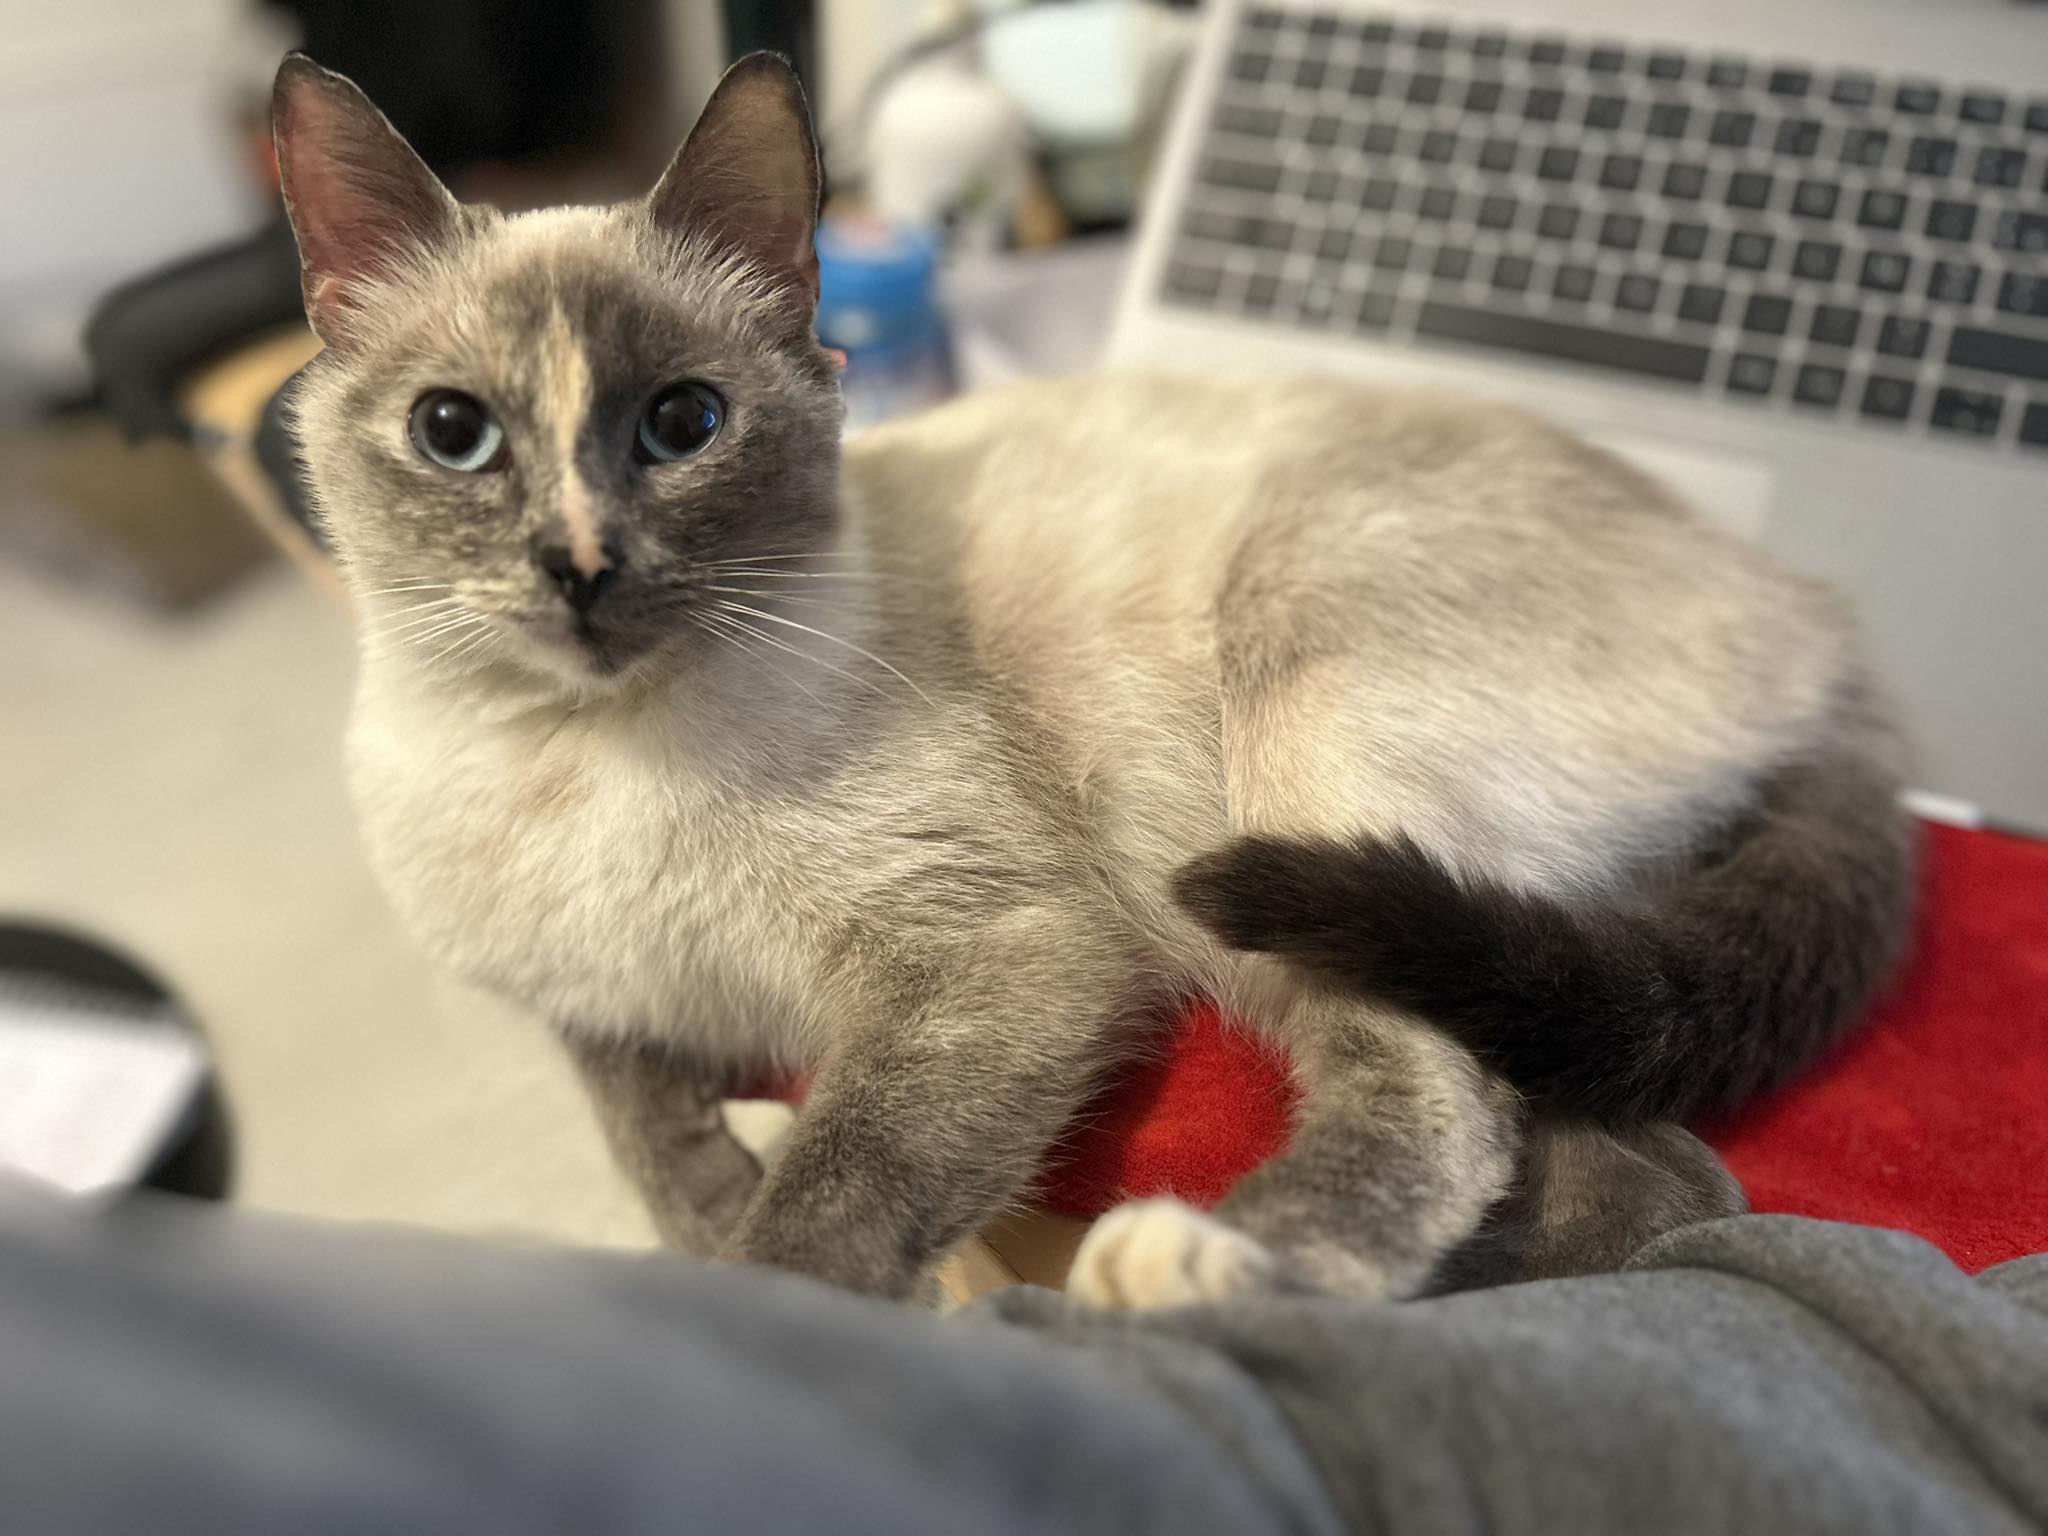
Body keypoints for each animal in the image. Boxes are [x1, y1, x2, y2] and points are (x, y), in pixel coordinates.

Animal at [273, 51, 1915, 1307]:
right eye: (453, 434)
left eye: (682, 424)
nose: (579, 565)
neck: (578, 750)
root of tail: (1832, 637)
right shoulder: (586, 1005)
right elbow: (641, 1125)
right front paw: (704, 1197)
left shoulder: (986, 956)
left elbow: (820, 1214)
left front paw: (749, 1304)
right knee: (1649, 1182)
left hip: (1287, 752)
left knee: (1476, 1115)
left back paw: (1200, 1265)